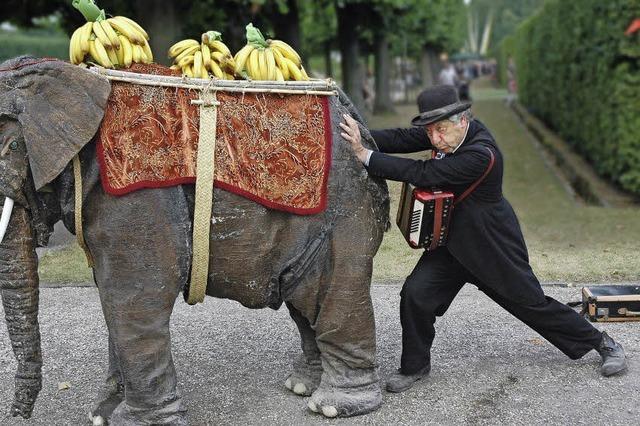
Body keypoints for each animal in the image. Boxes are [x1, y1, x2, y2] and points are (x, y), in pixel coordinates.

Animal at [0, 55, 390, 422]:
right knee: (304, 300)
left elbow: (136, 293)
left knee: (332, 292)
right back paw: (302, 386)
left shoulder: (138, 195)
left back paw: (332, 406)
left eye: (13, 145)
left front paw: (133, 421)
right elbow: (111, 293)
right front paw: (102, 415)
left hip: (346, 207)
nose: (18, 414)